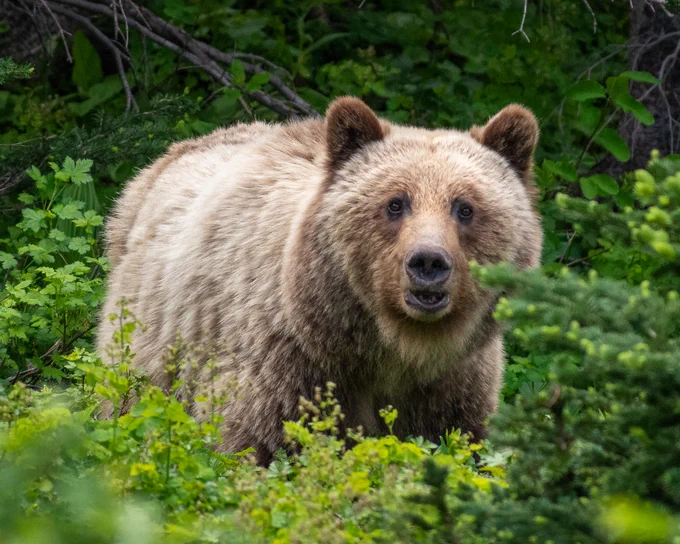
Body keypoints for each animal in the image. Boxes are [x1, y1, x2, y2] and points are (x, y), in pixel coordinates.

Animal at [98, 96, 542, 464]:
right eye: (395, 203)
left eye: (465, 207)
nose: (428, 262)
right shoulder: (288, 364)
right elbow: (258, 443)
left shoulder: (453, 382)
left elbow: (459, 442)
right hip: (143, 341)